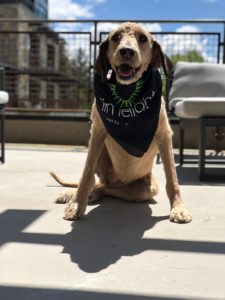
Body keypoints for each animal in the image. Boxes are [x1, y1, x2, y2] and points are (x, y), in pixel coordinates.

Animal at [51, 22, 192, 223]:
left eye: (143, 38)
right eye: (115, 37)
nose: (126, 51)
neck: (128, 94)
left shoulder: (164, 135)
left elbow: (172, 178)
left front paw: (179, 208)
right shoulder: (97, 132)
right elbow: (86, 174)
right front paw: (77, 204)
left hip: (145, 189)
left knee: (108, 188)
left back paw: (92, 194)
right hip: (102, 155)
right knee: (99, 183)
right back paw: (76, 194)